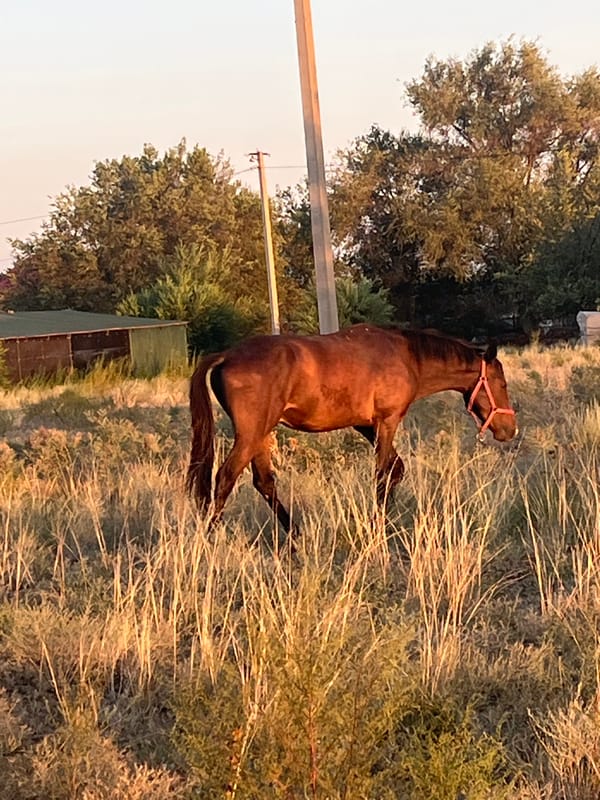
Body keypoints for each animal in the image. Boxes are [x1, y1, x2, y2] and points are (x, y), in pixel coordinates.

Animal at [186, 324, 517, 534]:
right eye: (502, 383)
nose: (509, 429)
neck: (406, 356)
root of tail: (227, 355)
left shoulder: (366, 426)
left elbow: (396, 469)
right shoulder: (387, 422)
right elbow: (383, 474)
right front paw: (377, 527)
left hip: (261, 436)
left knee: (265, 483)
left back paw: (295, 538)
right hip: (250, 436)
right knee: (225, 478)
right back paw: (211, 540)